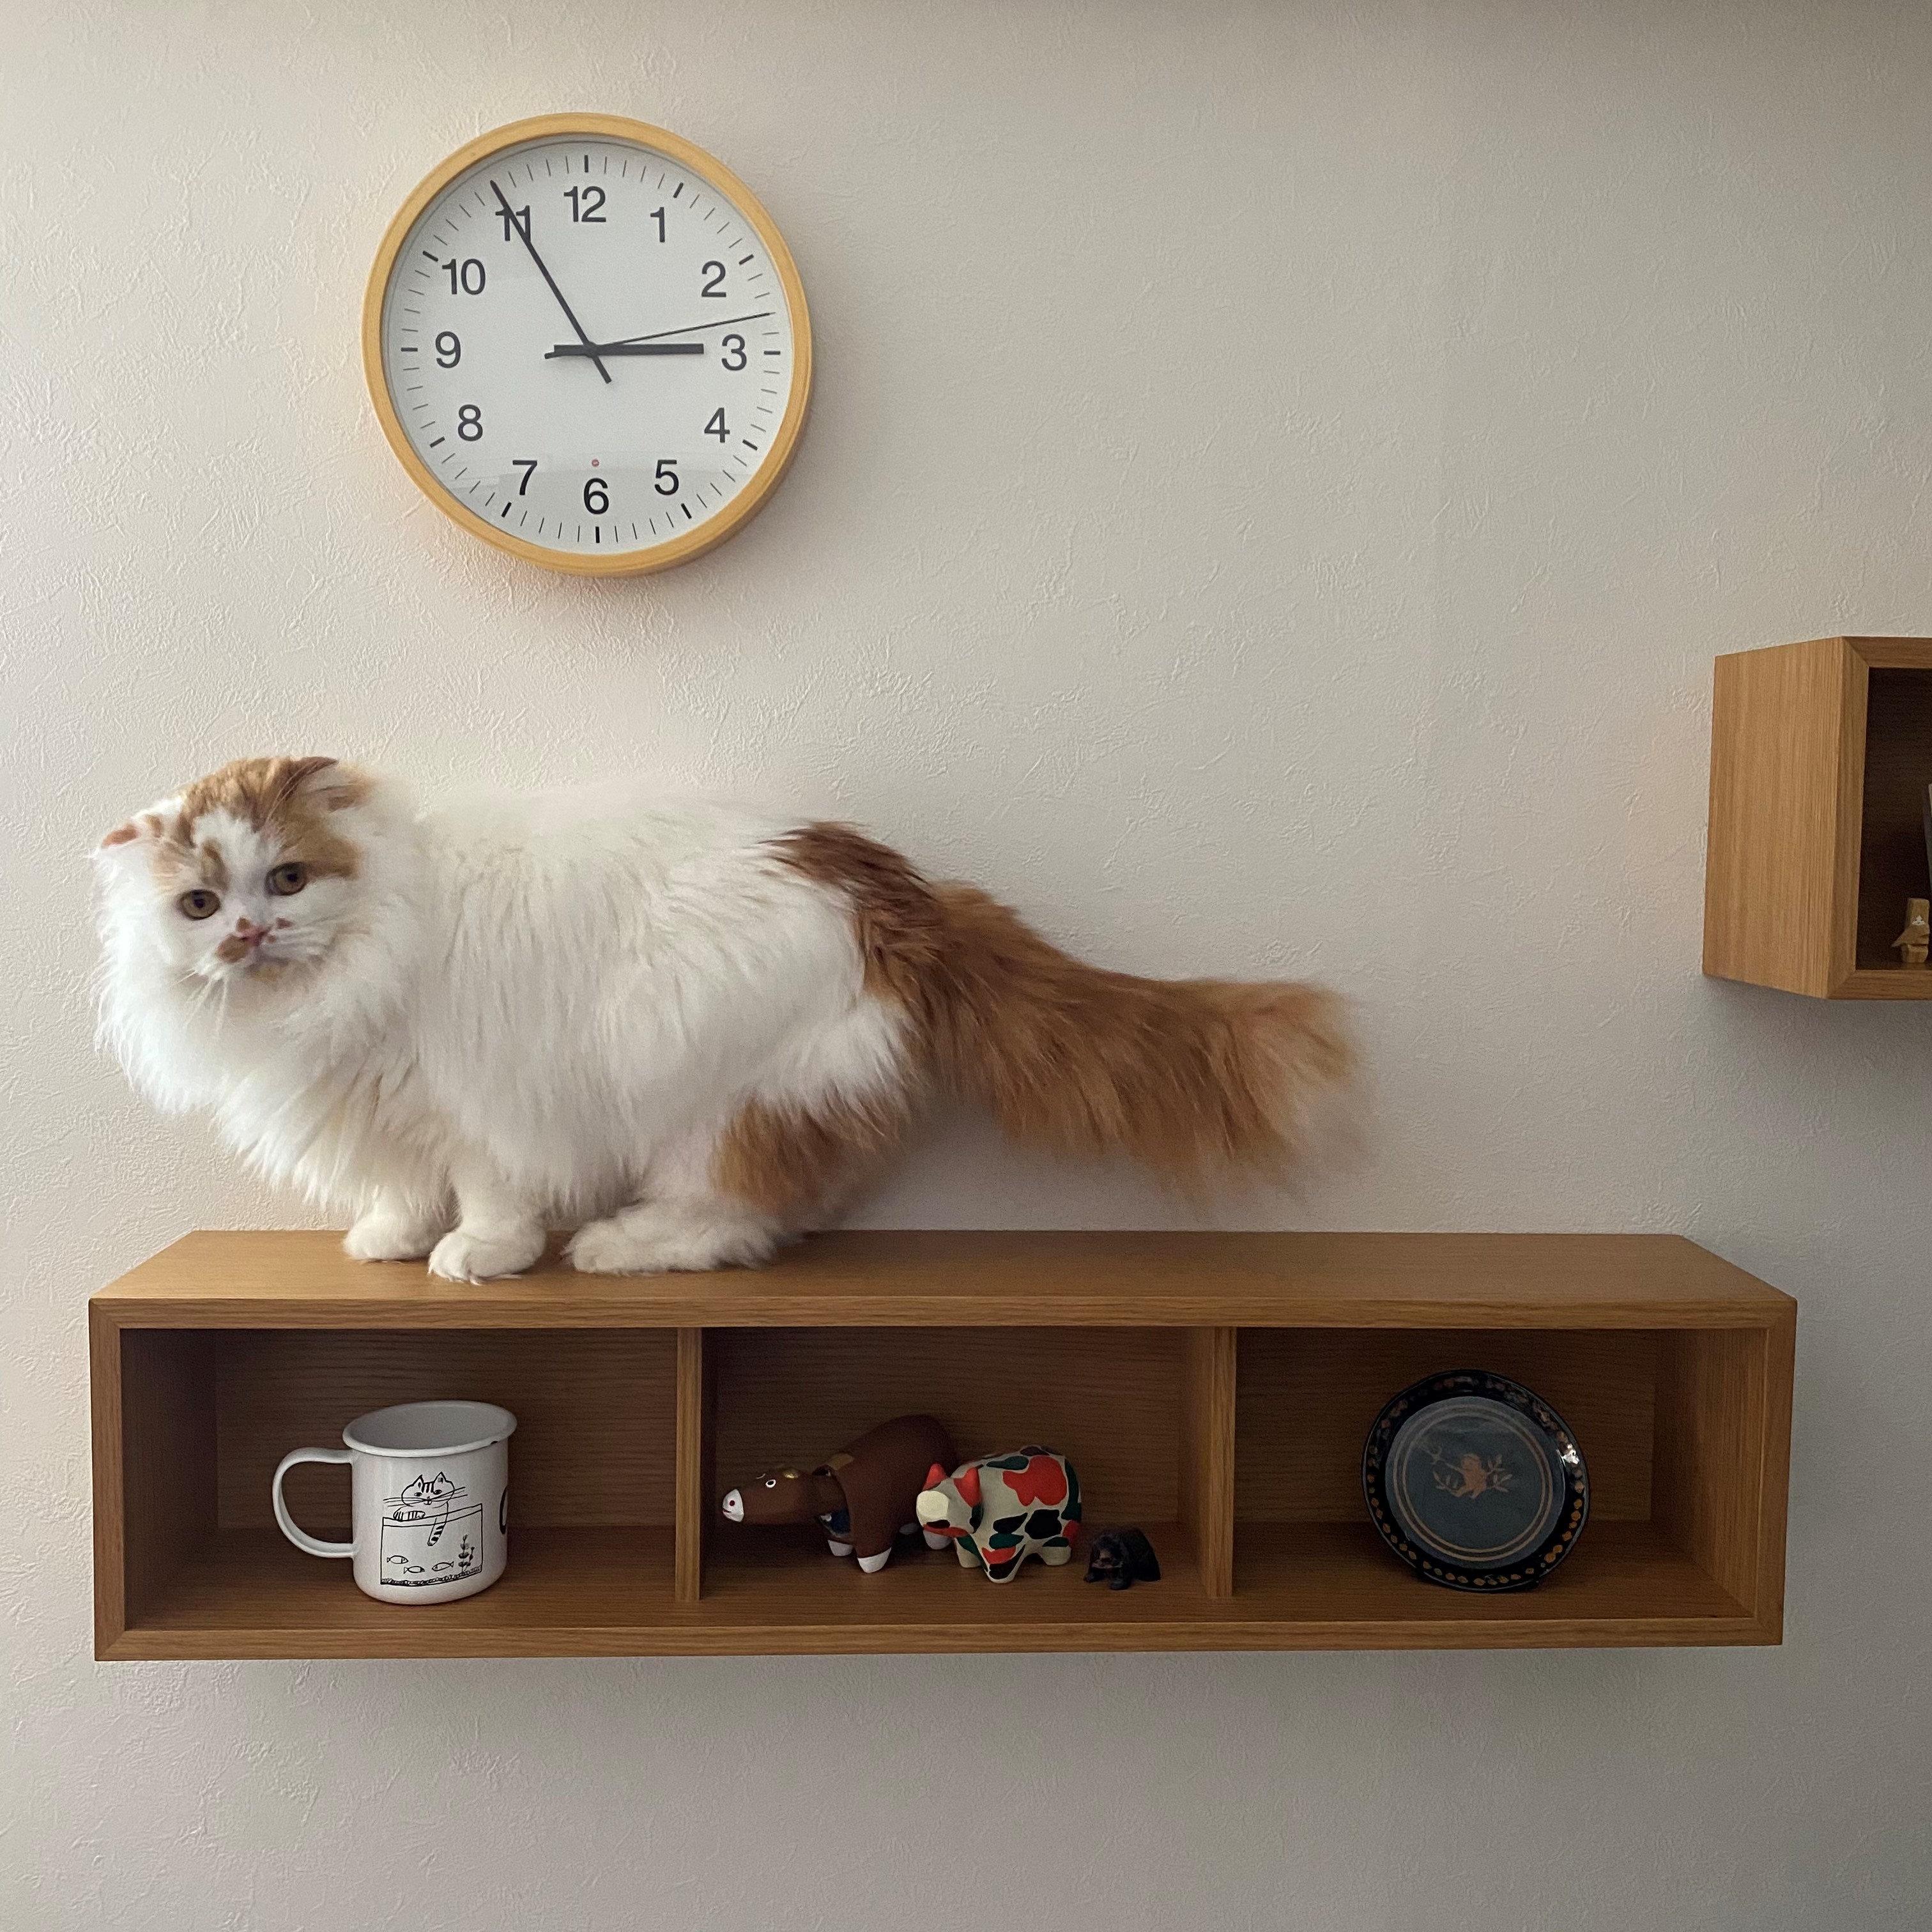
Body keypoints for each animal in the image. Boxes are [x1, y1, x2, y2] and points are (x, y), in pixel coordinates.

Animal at [95, 756, 1351, 1281]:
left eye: (289, 878)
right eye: (199, 902)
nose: (248, 935)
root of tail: (896, 886)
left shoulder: (481, 1104)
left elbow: (489, 1193)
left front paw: (477, 1257)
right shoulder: (385, 1111)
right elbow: (401, 1188)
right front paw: (392, 1239)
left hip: (696, 1083)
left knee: (738, 1223)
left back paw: (619, 1245)